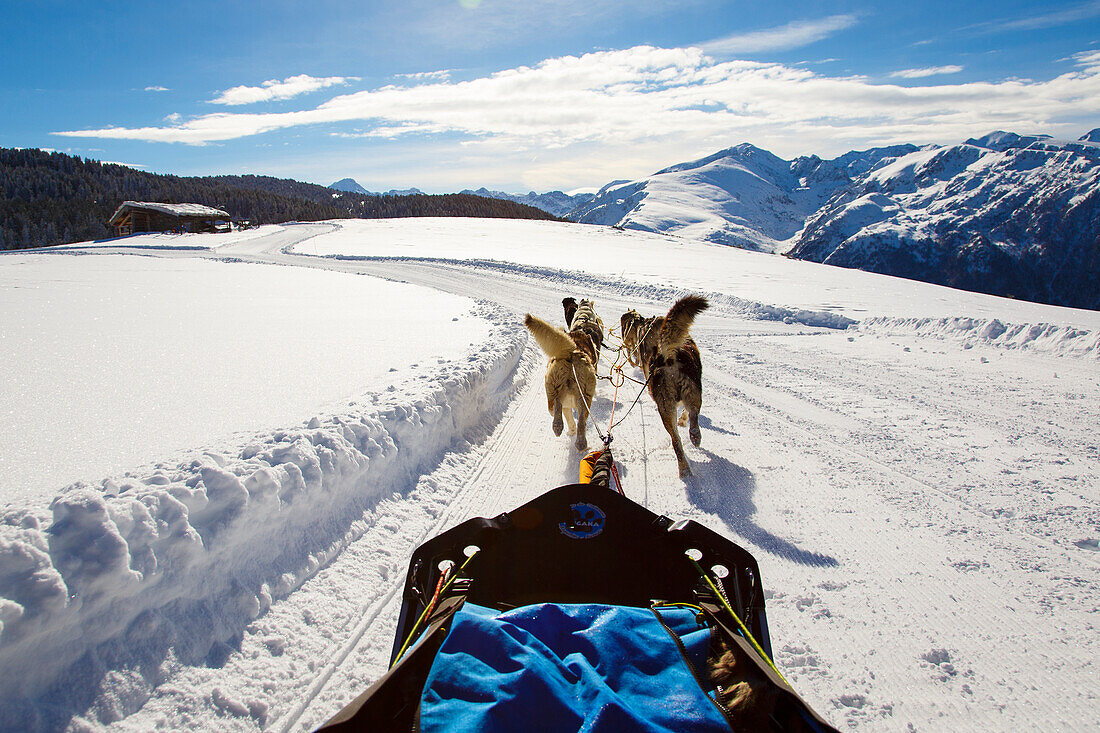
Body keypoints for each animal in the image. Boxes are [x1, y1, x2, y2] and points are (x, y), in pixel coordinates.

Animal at [525, 310, 598, 449]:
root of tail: (572, 352)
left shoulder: (567, 406)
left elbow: (570, 420)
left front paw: (570, 431)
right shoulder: (569, 406)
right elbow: (572, 420)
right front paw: (571, 431)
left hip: (553, 387)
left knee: (556, 405)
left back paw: (558, 426)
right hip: (583, 396)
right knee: (580, 420)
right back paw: (579, 441)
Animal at [620, 294, 704, 477]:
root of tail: (669, 355)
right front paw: (683, 420)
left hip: (667, 406)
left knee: (676, 440)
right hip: (690, 395)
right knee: (691, 418)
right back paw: (693, 439)